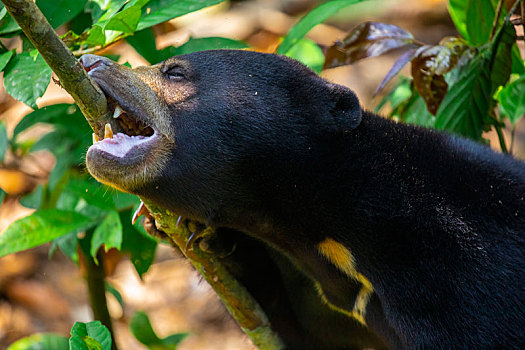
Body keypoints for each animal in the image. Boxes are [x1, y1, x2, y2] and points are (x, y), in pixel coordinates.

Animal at [79, 50, 524, 350]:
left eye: (174, 71)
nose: (89, 60)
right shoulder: (330, 298)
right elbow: (297, 328)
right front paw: (198, 233)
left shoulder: (456, 286)